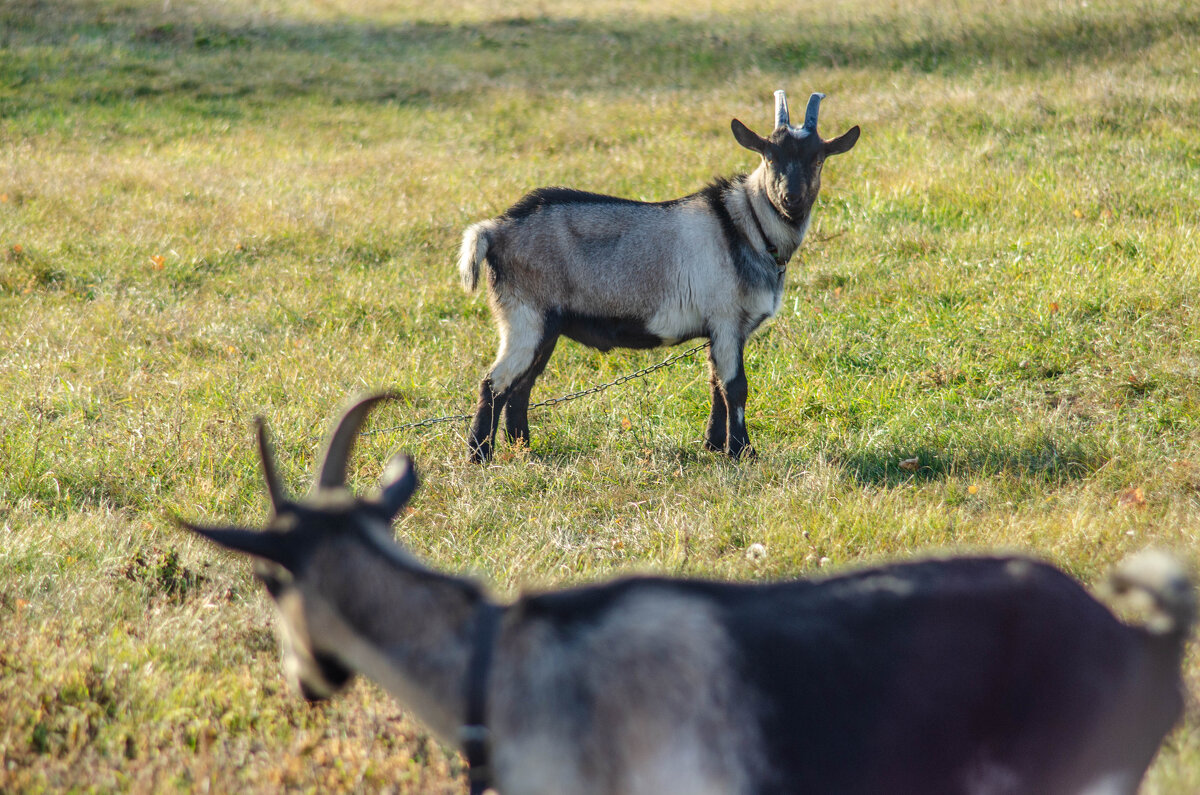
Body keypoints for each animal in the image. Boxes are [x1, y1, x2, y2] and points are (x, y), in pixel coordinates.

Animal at [453, 88, 859, 461]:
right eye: (770, 156)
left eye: (818, 159)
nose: (791, 198)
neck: (746, 226)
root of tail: (494, 230)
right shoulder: (726, 318)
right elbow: (734, 386)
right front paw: (742, 451)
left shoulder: (723, 329)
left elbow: (715, 383)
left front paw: (714, 445)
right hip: (525, 317)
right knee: (495, 383)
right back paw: (479, 455)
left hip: (544, 327)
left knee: (522, 385)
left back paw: (523, 446)